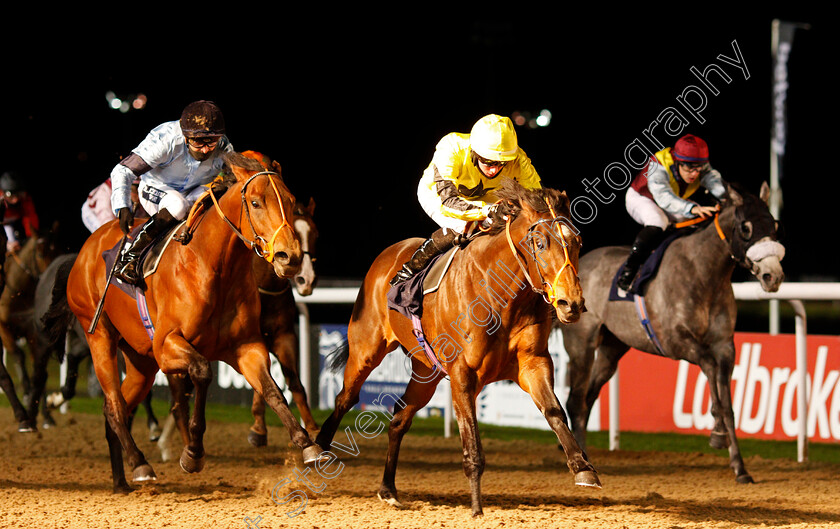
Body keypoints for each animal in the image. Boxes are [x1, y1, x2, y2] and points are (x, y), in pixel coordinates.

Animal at [42, 152, 326, 490]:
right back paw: (140, 463)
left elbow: (273, 389)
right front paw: (192, 452)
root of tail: (83, 252)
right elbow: (201, 373)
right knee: (114, 403)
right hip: (100, 336)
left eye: (290, 200)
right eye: (256, 202)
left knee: (116, 407)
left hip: (141, 361)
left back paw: (121, 481)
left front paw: (307, 442)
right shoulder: (167, 346)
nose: (290, 258)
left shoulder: (248, 346)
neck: (213, 265)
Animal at [316, 178, 596, 516]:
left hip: (427, 372)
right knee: (345, 398)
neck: (501, 294)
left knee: (399, 418)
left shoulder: (533, 363)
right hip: (366, 349)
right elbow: (471, 441)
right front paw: (476, 508)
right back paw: (316, 451)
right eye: (540, 243)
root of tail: (386, 257)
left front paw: (583, 468)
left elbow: (554, 410)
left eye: (577, 242)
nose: (572, 303)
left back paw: (388, 489)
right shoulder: (464, 374)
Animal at [560, 182, 784, 482]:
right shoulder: (676, 340)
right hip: (581, 344)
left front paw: (739, 466)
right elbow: (709, 368)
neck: (705, 275)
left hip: (612, 348)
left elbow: (728, 403)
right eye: (746, 227)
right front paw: (717, 432)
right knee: (575, 401)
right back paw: (583, 461)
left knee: (588, 398)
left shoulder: (725, 345)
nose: (773, 276)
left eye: (774, 224)